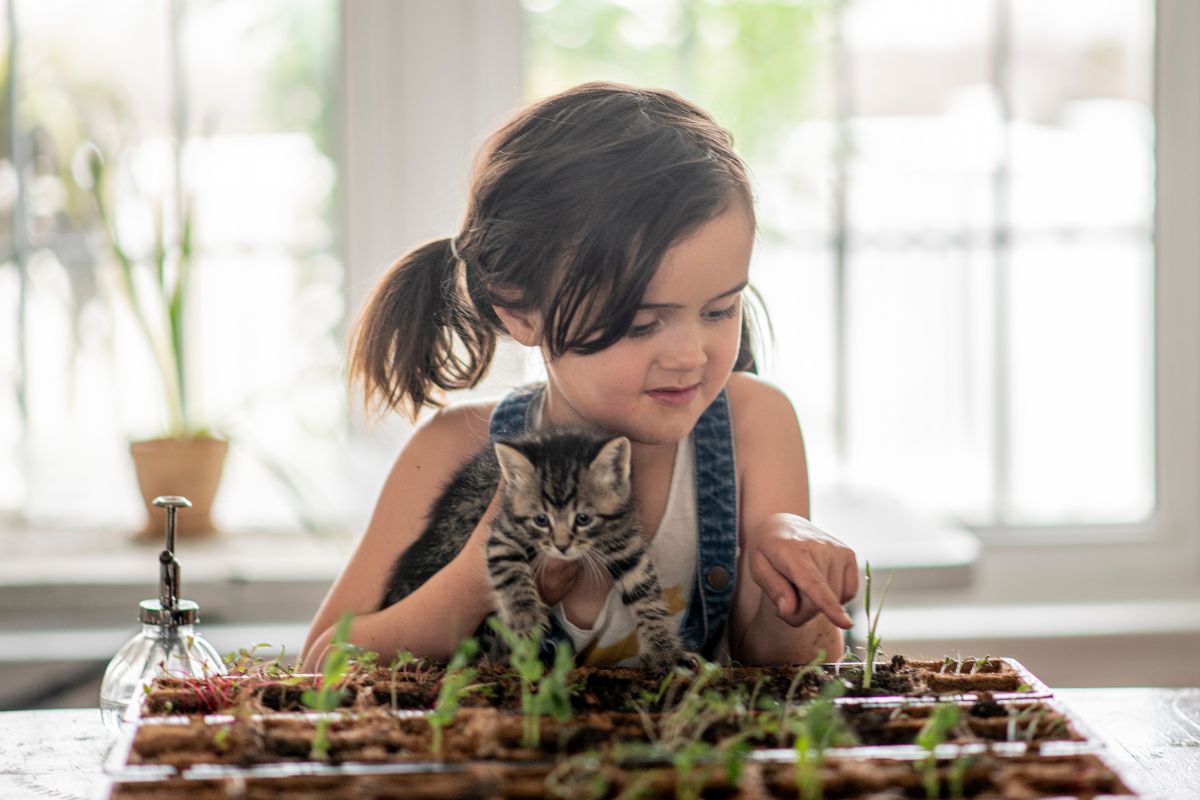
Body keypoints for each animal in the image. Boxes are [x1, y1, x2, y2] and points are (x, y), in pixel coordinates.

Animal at [379, 431, 691, 671]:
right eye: (541, 520)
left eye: (583, 518)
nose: (562, 546)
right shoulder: (501, 536)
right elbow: (512, 577)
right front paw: (525, 619)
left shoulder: (626, 541)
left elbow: (647, 594)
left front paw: (665, 650)